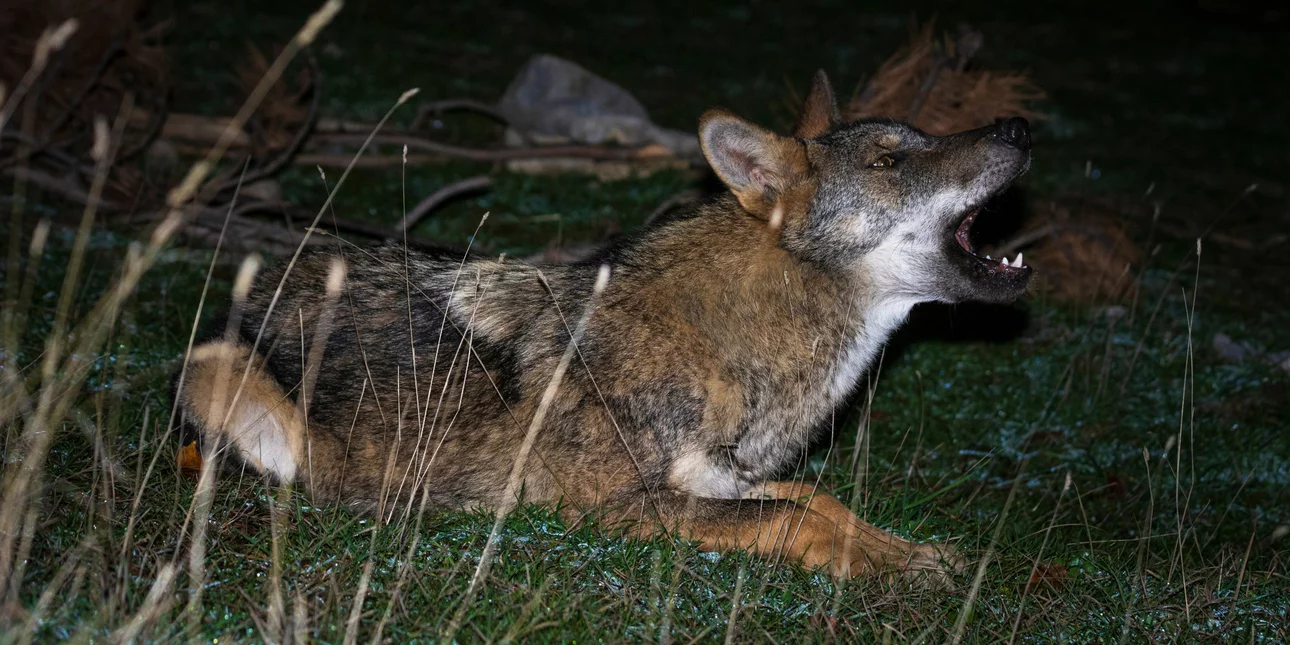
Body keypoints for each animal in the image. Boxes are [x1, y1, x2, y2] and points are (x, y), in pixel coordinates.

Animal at [176, 70, 1032, 580]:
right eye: (891, 161)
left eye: (921, 141)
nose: (1019, 127)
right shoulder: (606, 507)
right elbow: (795, 518)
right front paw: (902, 572)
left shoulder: (720, 476)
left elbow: (821, 502)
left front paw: (917, 551)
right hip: (222, 379)